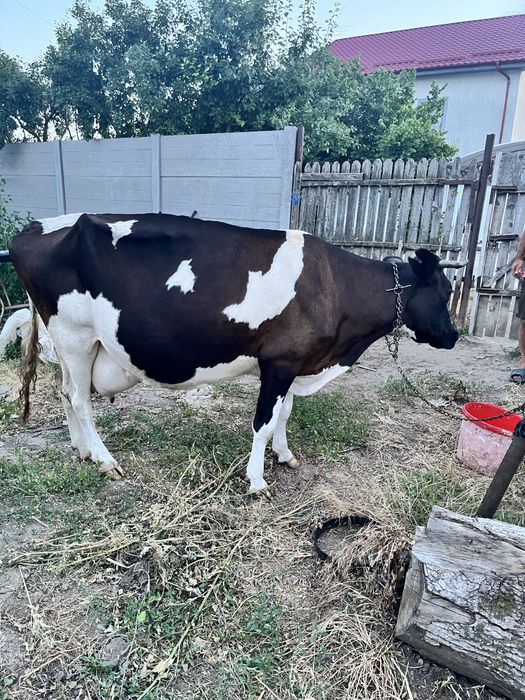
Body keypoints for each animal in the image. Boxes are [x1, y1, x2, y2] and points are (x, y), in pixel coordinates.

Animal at [9, 212, 460, 493]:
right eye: (444, 292)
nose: (454, 337)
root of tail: (34, 228)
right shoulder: (279, 361)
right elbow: (263, 422)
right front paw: (257, 481)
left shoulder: (295, 362)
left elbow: (284, 413)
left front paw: (285, 455)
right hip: (76, 336)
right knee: (80, 401)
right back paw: (105, 460)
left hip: (73, 344)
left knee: (66, 392)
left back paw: (82, 449)